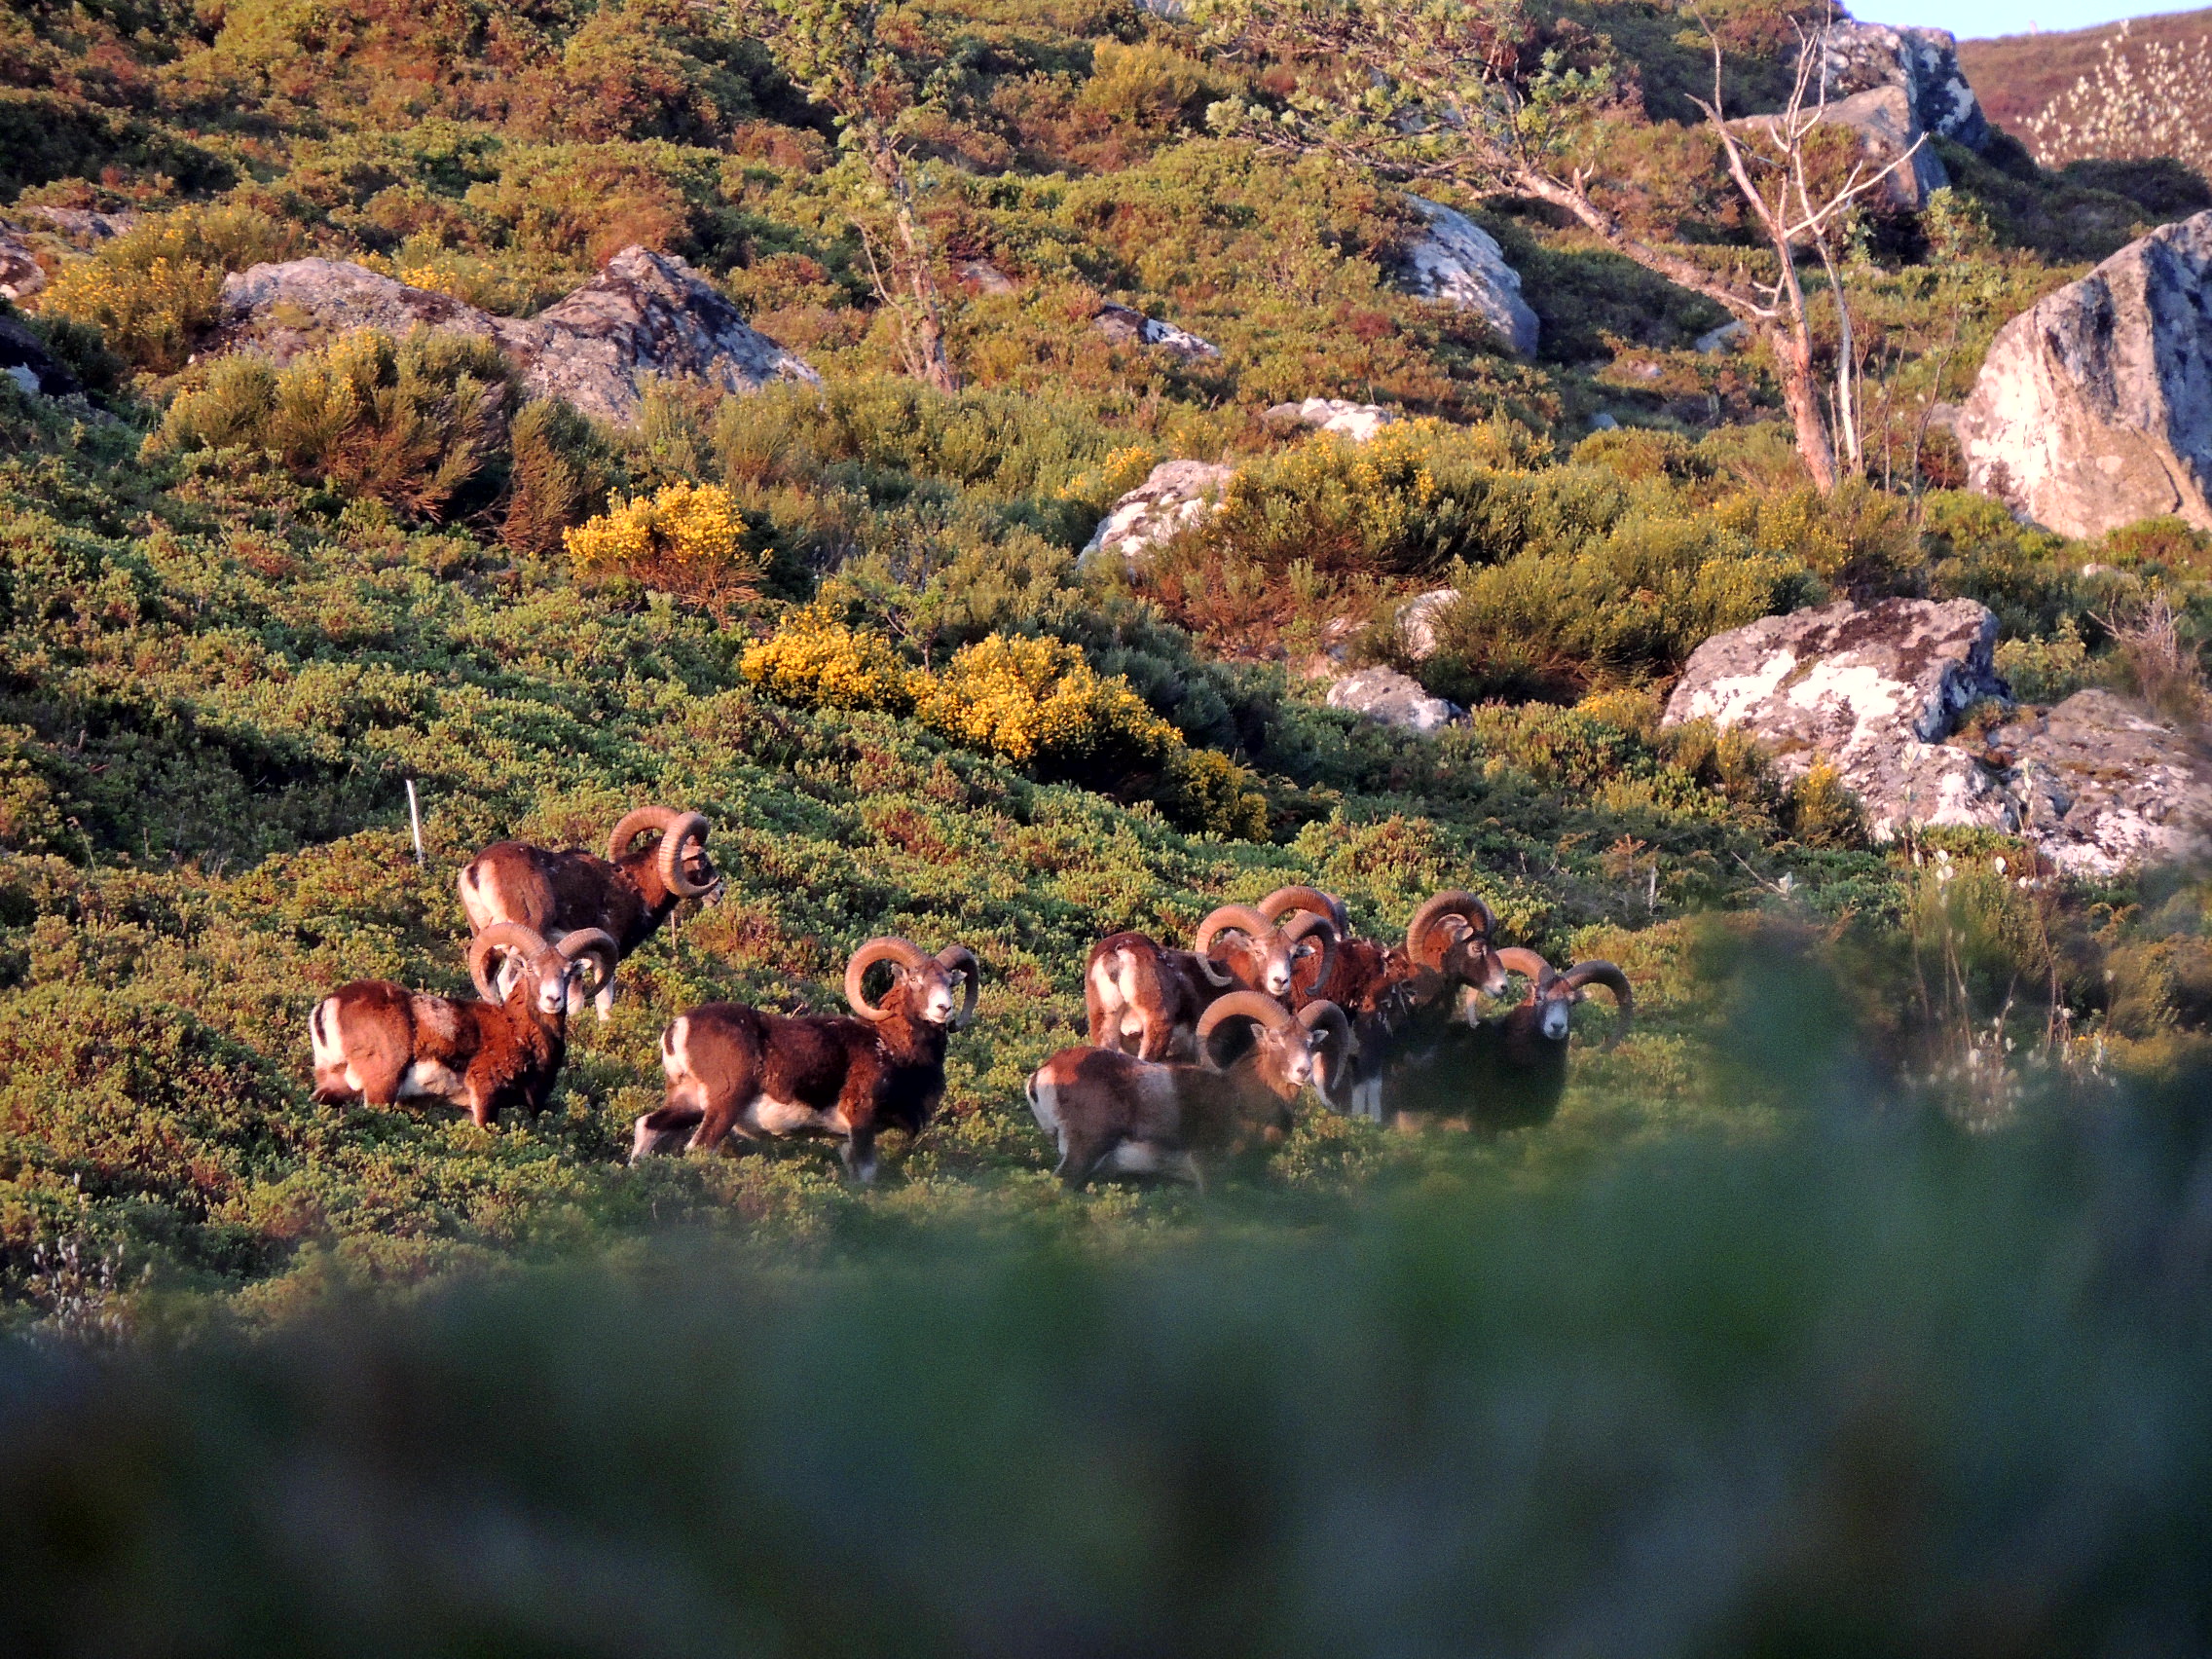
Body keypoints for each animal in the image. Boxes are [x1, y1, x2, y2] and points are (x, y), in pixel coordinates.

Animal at [308, 923, 617, 1128]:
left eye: (567, 973)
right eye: (531, 969)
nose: (553, 999)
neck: (516, 1028)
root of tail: (329, 1006)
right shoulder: (484, 1097)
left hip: (333, 1085)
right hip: (380, 1090)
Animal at [457, 805, 718, 1018]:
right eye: (701, 857)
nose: (719, 890)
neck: (633, 887)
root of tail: (477, 869)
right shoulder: (604, 959)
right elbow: (604, 1003)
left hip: (486, 939)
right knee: (507, 979)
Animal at [628, 936, 980, 1183]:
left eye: (950, 982)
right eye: (915, 980)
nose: (944, 1009)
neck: (889, 1045)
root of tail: (679, 1027)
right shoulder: (861, 1122)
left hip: (687, 1103)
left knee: (648, 1127)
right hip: (724, 1106)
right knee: (699, 1148)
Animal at [1028, 991, 1351, 1188]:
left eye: (1310, 1043)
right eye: (1274, 1040)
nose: (1303, 1071)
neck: (1240, 1099)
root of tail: (1042, 1075)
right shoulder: (1209, 1172)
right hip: (1083, 1153)